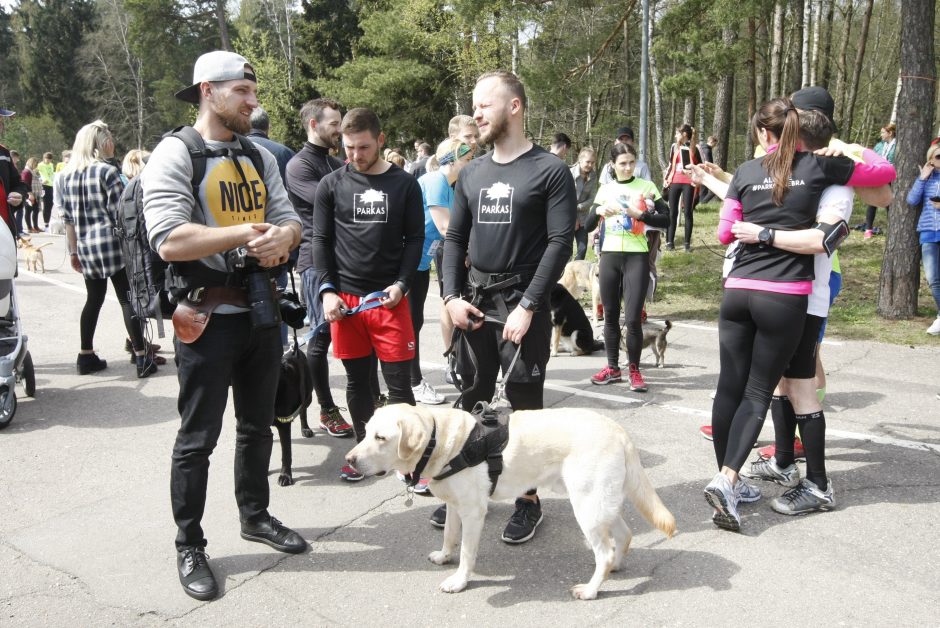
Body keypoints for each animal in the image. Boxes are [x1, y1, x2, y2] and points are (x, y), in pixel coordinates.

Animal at [346, 404, 676, 600]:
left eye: (381, 438)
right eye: (365, 433)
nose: (349, 459)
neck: (439, 441)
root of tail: (619, 430)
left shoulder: (473, 512)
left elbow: (466, 553)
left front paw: (459, 581)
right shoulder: (454, 506)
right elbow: (450, 536)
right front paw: (443, 557)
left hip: (587, 506)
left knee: (604, 551)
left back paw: (592, 588)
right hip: (598, 503)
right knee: (624, 536)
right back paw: (615, 568)